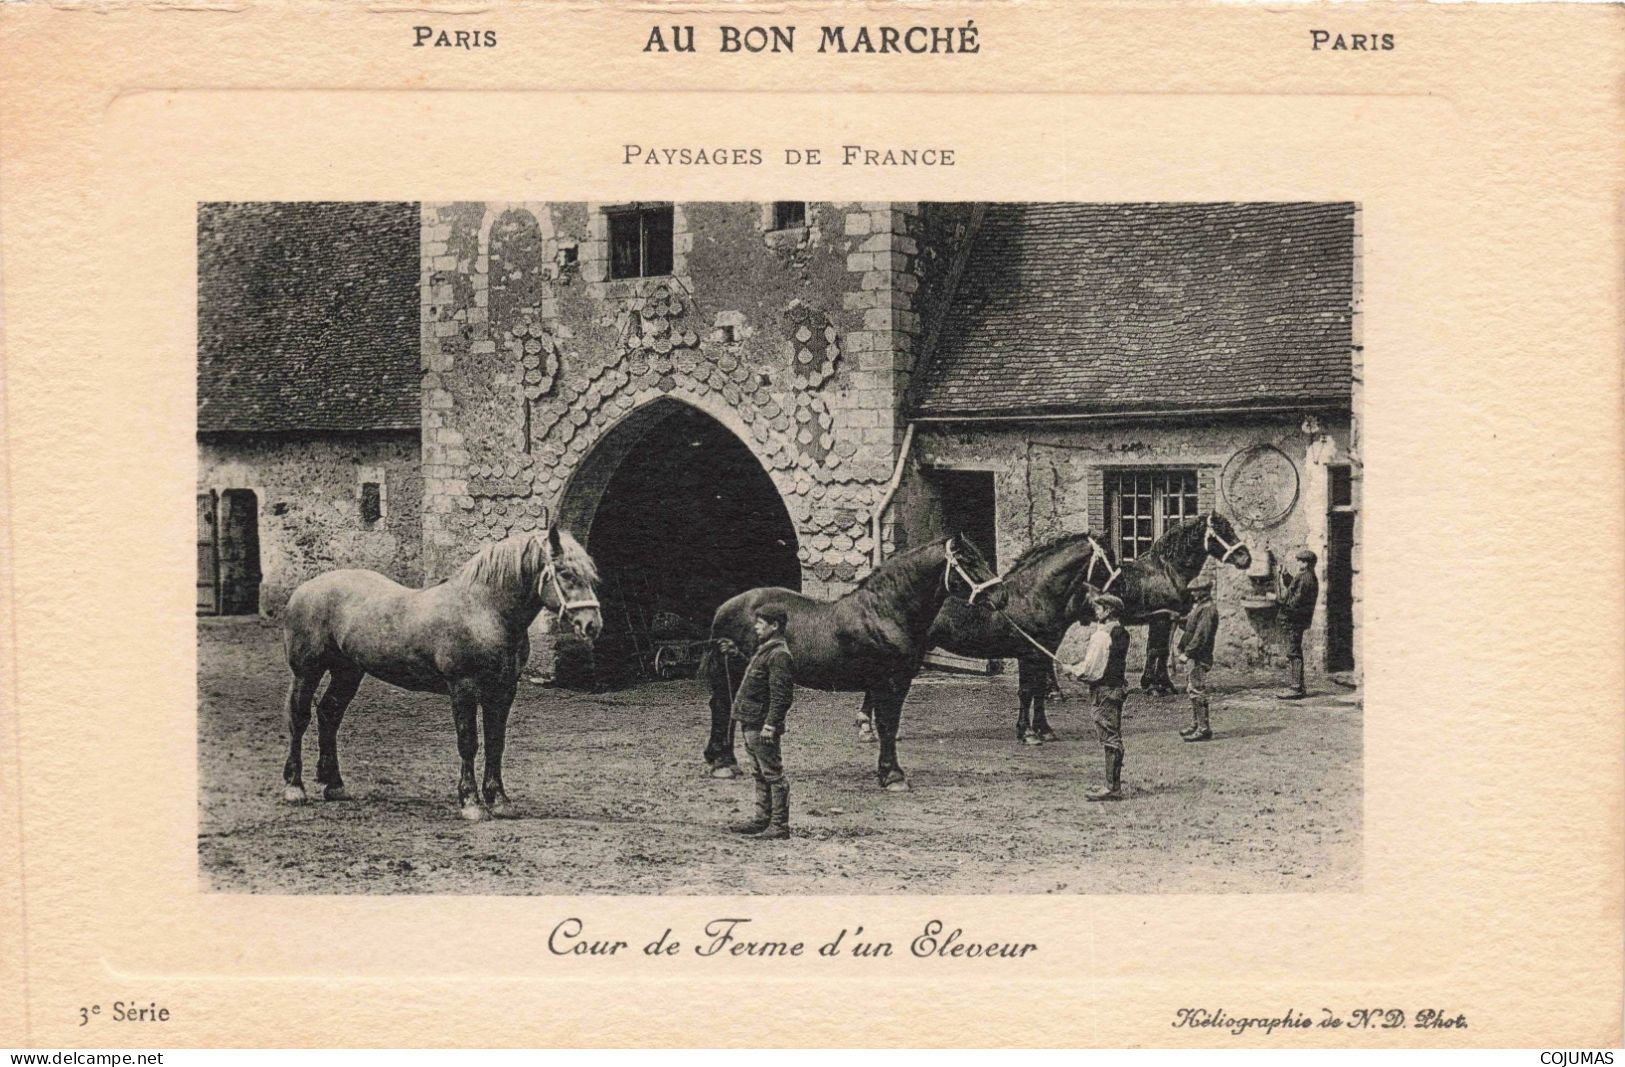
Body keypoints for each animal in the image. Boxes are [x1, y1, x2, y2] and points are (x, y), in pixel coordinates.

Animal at [279, 529, 604, 818]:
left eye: (591, 576)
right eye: (565, 573)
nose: (593, 625)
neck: (483, 611)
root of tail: (304, 589)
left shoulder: (503, 690)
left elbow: (496, 742)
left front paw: (499, 801)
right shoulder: (463, 687)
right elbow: (469, 742)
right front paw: (471, 803)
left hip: (348, 672)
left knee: (329, 715)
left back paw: (334, 785)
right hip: (307, 671)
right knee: (300, 717)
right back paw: (295, 787)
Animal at [702, 535, 994, 786]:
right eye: (968, 560)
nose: (998, 595)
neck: (884, 613)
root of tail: (724, 607)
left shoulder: (895, 683)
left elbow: (889, 724)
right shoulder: (890, 682)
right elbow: (887, 726)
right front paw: (893, 776)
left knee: (728, 707)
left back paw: (726, 761)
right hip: (734, 668)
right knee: (722, 706)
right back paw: (722, 765)